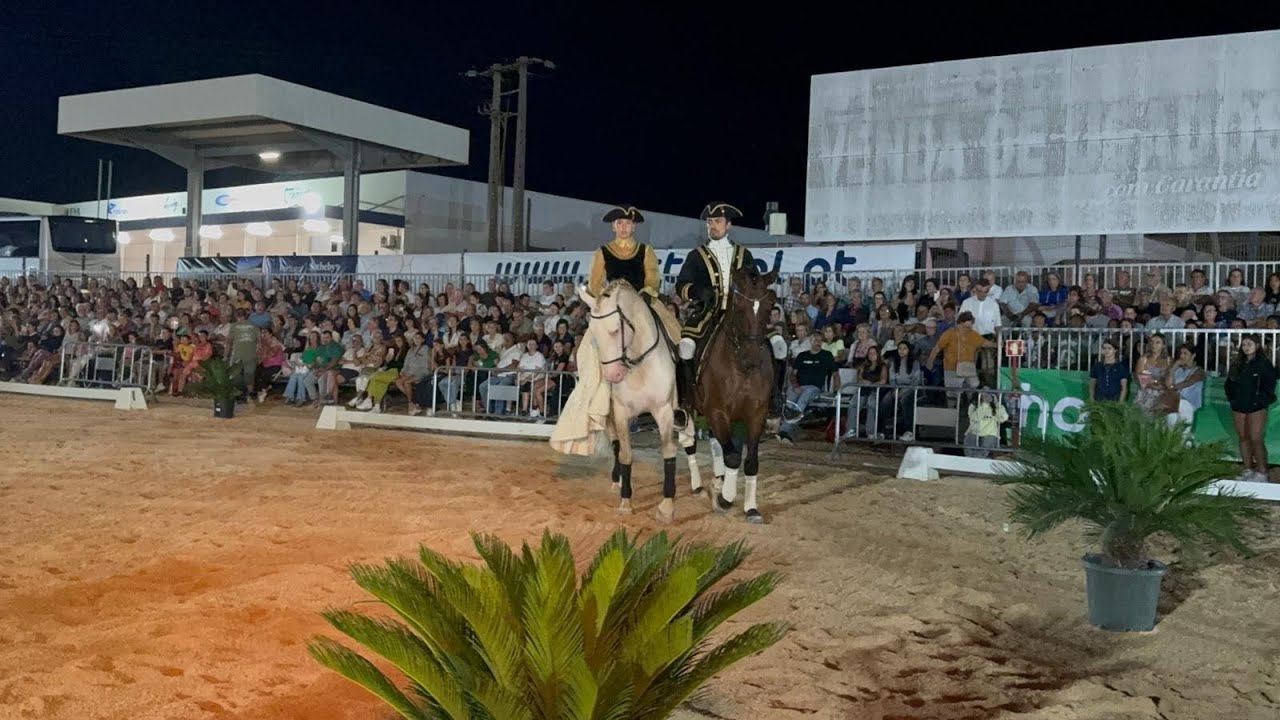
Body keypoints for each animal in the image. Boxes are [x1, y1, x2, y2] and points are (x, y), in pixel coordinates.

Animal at [575, 279, 699, 523]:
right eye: (593, 333)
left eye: (615, 330)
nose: (612, 376)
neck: (639, 363)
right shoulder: (621, 411)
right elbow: (625, 453)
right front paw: (626, 501)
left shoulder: (664, 411)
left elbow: (668, 451)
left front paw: (667, 506)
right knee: (615, 444)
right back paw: (618, 479)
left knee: (688, 440)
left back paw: (698, 485)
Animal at [685, 266, 780, 523]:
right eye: (739, 307)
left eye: (770, 305)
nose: (752, 358)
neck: (740, 366)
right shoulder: (717, 411)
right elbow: (734, 457)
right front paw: (724, 499)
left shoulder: (756, 415)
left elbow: (750, 461)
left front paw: (751, 508)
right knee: (689, 442)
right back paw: (698, 485)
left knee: (717, 444)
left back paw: (718, 478)